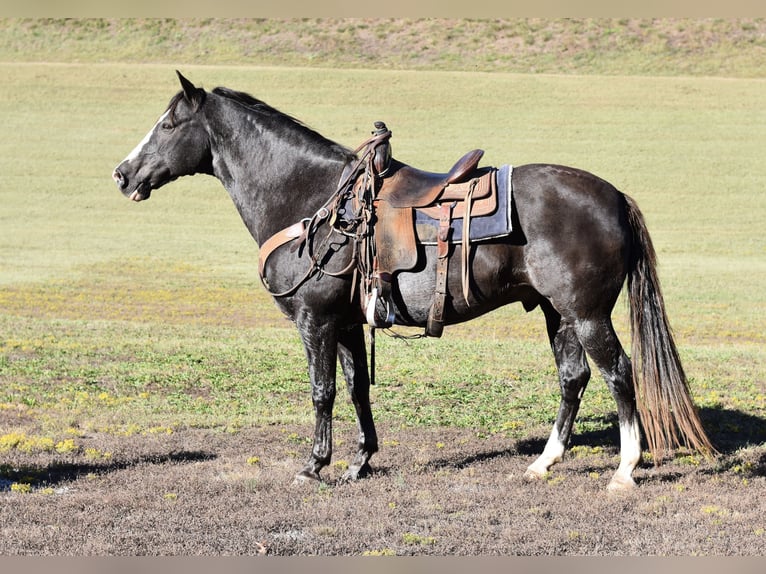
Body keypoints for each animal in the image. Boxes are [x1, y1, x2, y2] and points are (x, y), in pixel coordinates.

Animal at [112, 72, 714, 490]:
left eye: (168, 125)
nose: (122, 174)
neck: (312, 200)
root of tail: (613, 195)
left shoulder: (315, 320)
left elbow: (322, 391)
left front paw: (314, 465)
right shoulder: (349, 323)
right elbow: (357, 387)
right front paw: (359, 462)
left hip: (587, 314)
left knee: (618, 374)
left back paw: (625, 470)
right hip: (556, 313)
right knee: (574, 378)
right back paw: (544, 463)